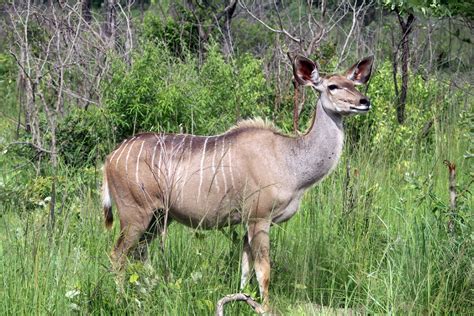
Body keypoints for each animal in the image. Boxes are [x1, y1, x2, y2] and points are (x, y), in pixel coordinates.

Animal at [101, 54, 374, 308]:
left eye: (354, 83)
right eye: (332, 86)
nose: (364, 102)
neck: (289, 159)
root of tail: (110, 159)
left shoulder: (248, 223)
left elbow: (245, 268)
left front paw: (241, 300)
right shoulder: (258, 219)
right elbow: (263, 271)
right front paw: (264, 308)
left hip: (158, 218)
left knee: (140, 254)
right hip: (135, 214)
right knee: (118, 254)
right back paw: (121, 299)